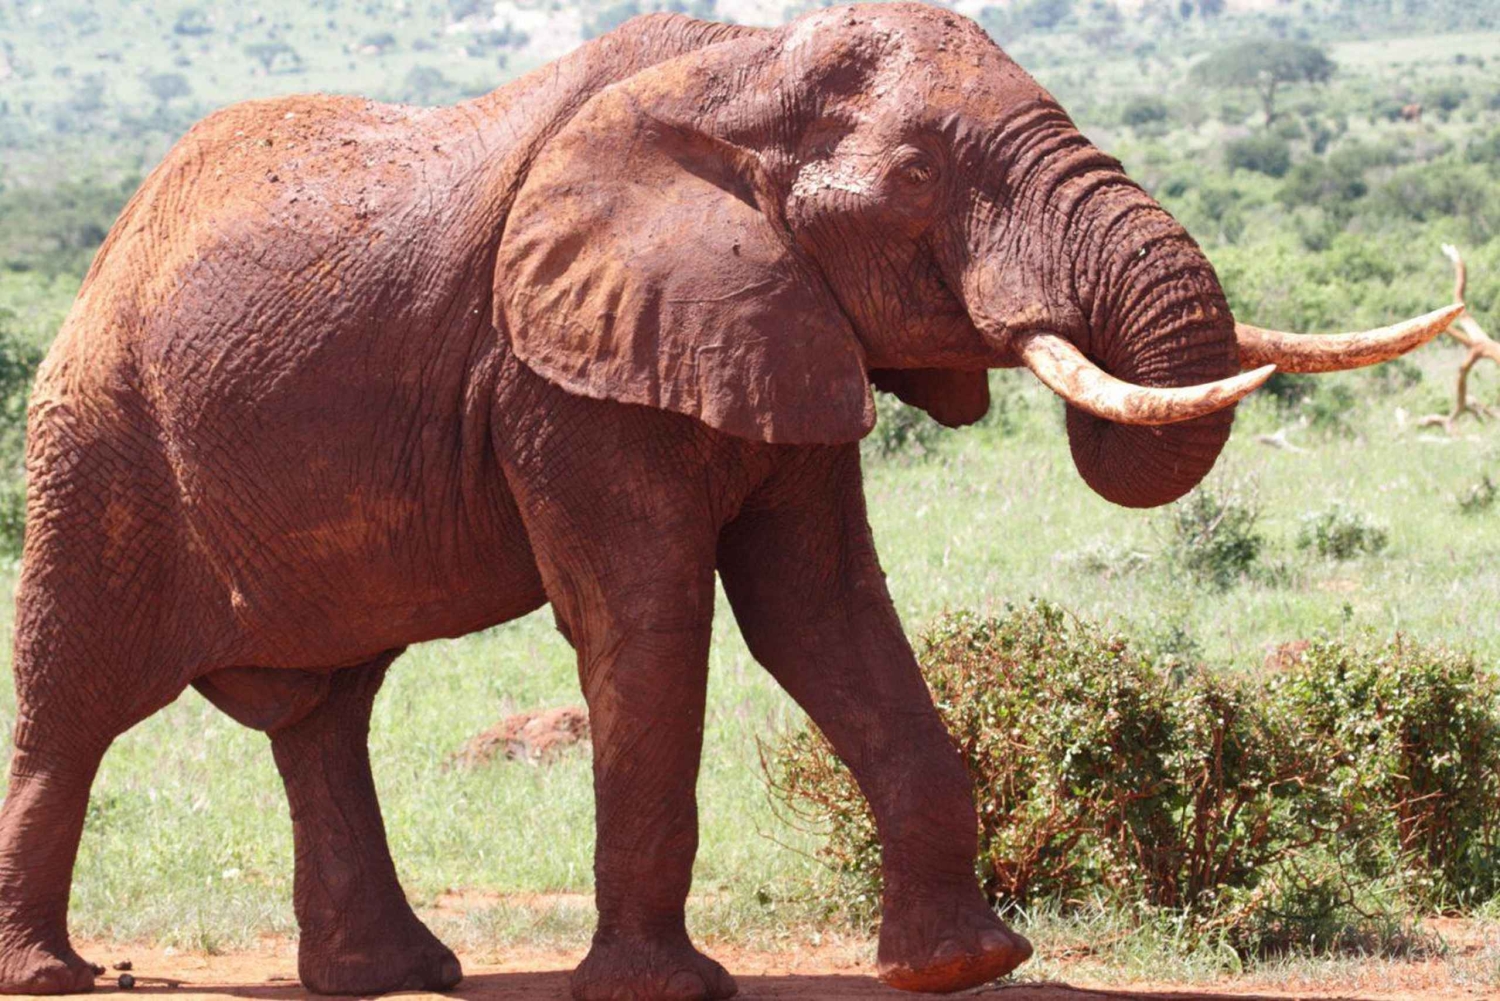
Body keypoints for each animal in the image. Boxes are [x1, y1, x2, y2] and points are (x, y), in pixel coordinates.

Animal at [0, 4, 1458, 999]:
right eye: (921, 182)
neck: (744, 67)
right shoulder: (556, 368)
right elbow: (648, 621)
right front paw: (661, 989)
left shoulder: (777, 325)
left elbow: (823, 611)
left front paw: (968, 963)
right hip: (96, 437)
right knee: (76, 703)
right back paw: (56, 973)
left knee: (324, 713)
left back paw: (398, 974)